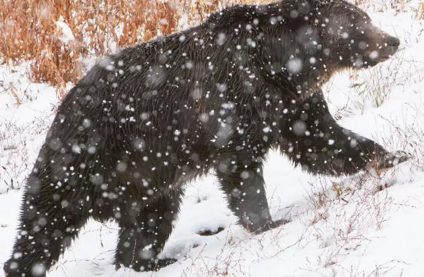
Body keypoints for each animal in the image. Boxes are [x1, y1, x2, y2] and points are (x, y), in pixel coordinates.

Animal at [4, 0, 408, 274]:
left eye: (366, 17)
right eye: (357, 23)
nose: (393, 40)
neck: (279, 66)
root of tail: (64, 105)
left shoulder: (291, 105)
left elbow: (323, 143)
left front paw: (394, 156)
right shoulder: (230, 102)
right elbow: (242, 171)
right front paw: (269, 222)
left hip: (145, 176)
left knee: (151, 221)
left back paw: (148, 260)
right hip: (85, 154)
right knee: (46, 219)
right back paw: (23, 263)